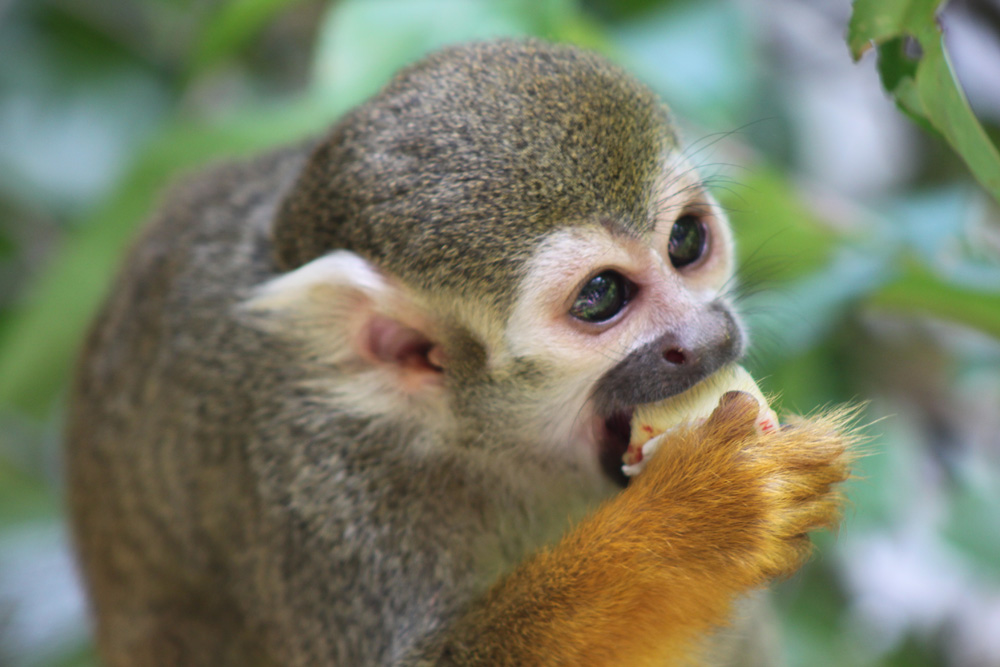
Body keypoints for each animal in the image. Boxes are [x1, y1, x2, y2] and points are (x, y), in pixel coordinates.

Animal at [66, 39, 856, 664]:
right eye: (601, 296)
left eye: (686, 242)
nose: (705, 338)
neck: (471, 441)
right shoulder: (313, 485)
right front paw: (700, 521)